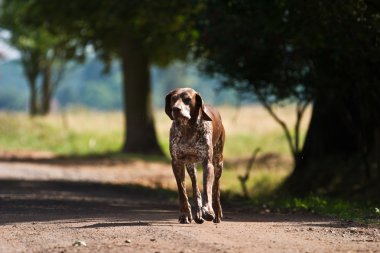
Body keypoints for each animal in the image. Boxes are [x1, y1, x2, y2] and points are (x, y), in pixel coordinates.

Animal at [165, 87, 224, 223]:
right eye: (173, 99)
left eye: (187, 99)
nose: (176, 109)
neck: (188, 128)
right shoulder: (177, 163)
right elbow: (182, 192)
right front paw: (185, 214)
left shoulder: (207, 163)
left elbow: (207, 189)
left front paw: (208, 210)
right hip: (191, 166)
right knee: (195, 187)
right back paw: (197, 213)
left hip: (218, 163)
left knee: (216, 189)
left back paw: (216, 212)